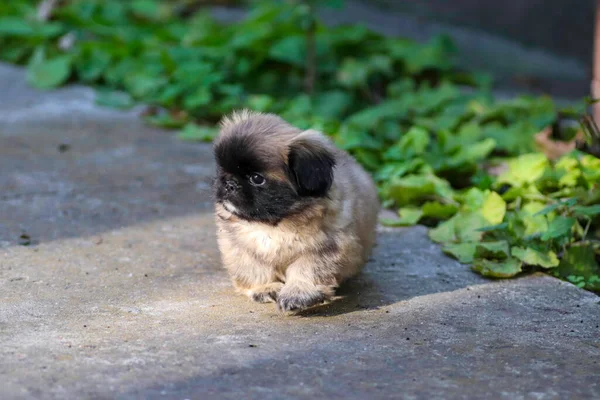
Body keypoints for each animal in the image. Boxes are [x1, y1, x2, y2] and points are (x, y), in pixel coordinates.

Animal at [213, 110, 378, 312]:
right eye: (222, 169)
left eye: (257, 178)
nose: (229, 183)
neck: (275, 223)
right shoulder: (239, 245)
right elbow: (254, 267)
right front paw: (265, 288)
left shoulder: (323, 248)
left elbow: (305, 269)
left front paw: (298, 294)